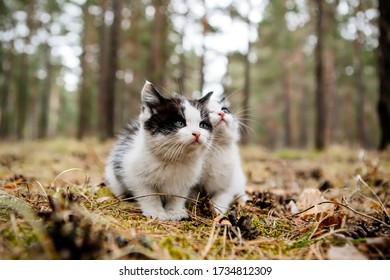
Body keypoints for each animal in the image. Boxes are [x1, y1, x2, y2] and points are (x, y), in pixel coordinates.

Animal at [104, 81, 213, 221]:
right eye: (179, 123)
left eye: (202, 125)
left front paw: (175, 211)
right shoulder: (135, 176)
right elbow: (149, 195)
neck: (174, 160)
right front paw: (155, 212)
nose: (197, 133)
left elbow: (177, 197)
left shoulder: (185, 182)